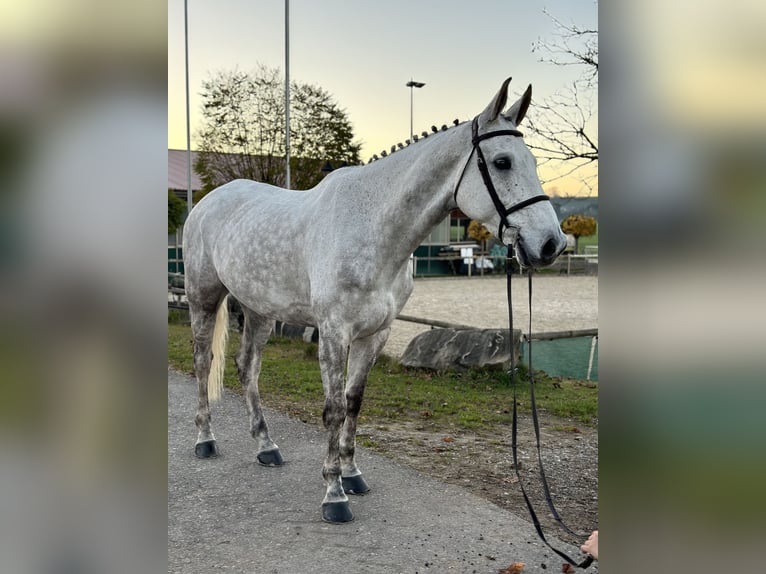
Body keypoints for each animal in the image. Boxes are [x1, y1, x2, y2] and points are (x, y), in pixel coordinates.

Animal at [183, 77, 568, 528]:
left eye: (535, 163)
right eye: (503, 162)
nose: (551, 244)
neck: (372, 228)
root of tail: (208, 201)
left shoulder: (376, 334)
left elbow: (354, 402)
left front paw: (352, 475)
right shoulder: (333, 332)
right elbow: (333, 408)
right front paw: (334, 495)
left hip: (259, 310)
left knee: (247, 368)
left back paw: (266, 447)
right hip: (203, 299)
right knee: (203, 363)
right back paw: (205, 440)